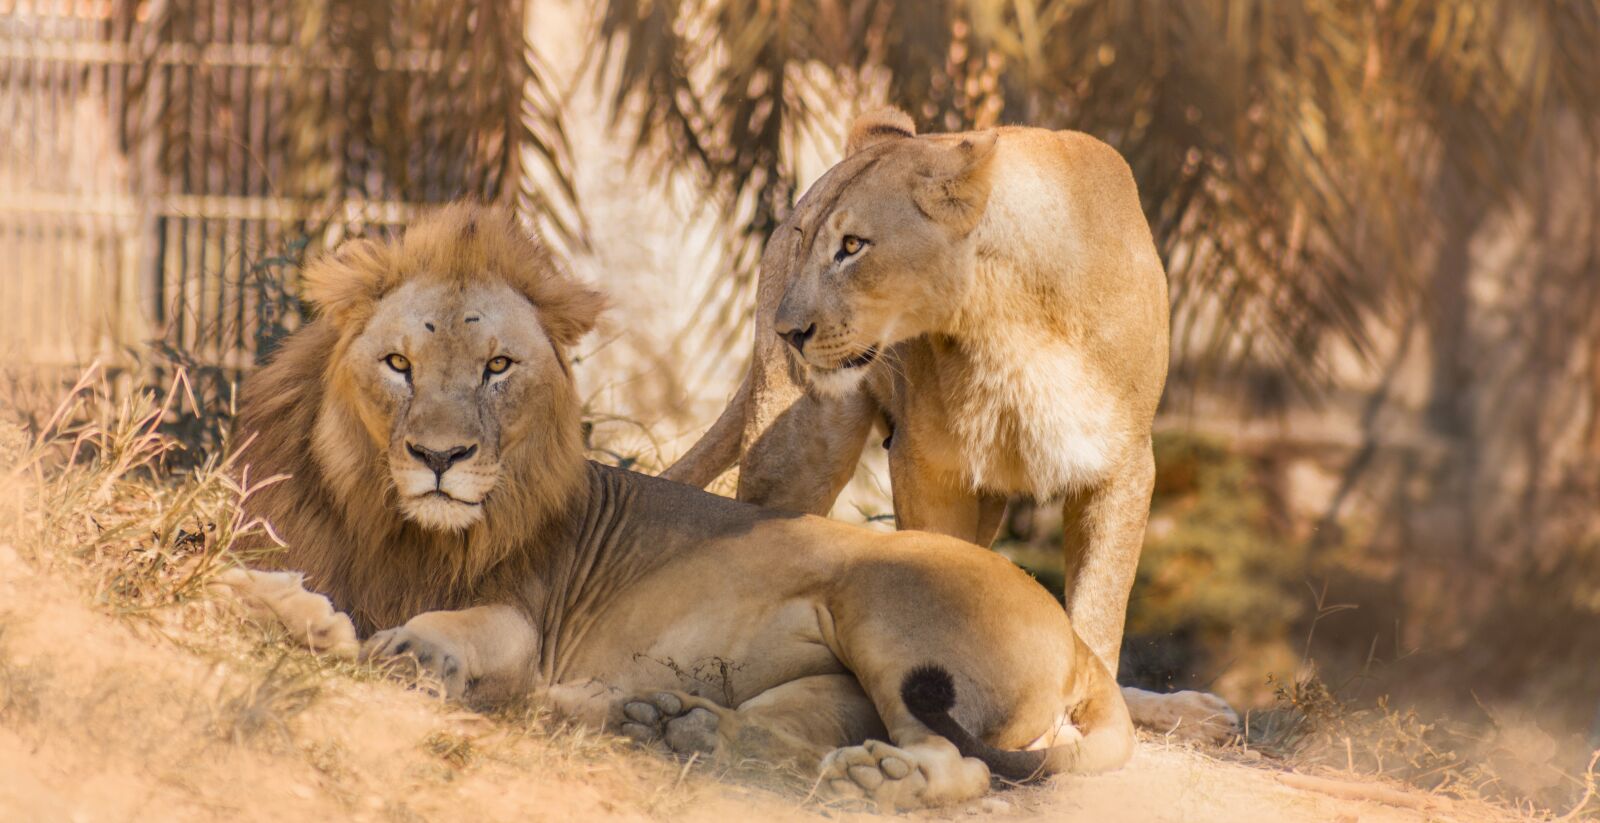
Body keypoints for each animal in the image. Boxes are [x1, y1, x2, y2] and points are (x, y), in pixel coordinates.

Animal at [224, 204, 1134, 811]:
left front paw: (418, 647)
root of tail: (1080, 642)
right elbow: (254, 583)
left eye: (497, 367)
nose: (439, 458)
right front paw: (302, 616)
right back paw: (656, 722)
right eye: (399, 364)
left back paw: (882, 774)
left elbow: (483, 628)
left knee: (964, 764)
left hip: (886, 612)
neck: (392, 525)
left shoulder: (533, 618)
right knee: (769, 738)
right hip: (824, 683)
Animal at [663, 108, 1237, 740]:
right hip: (797, 450)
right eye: (803, 241)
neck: (1009, 323)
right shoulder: (926, 464)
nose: (789, 331)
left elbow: (1097, 612)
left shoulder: (1123, 466)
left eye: (852, 246)